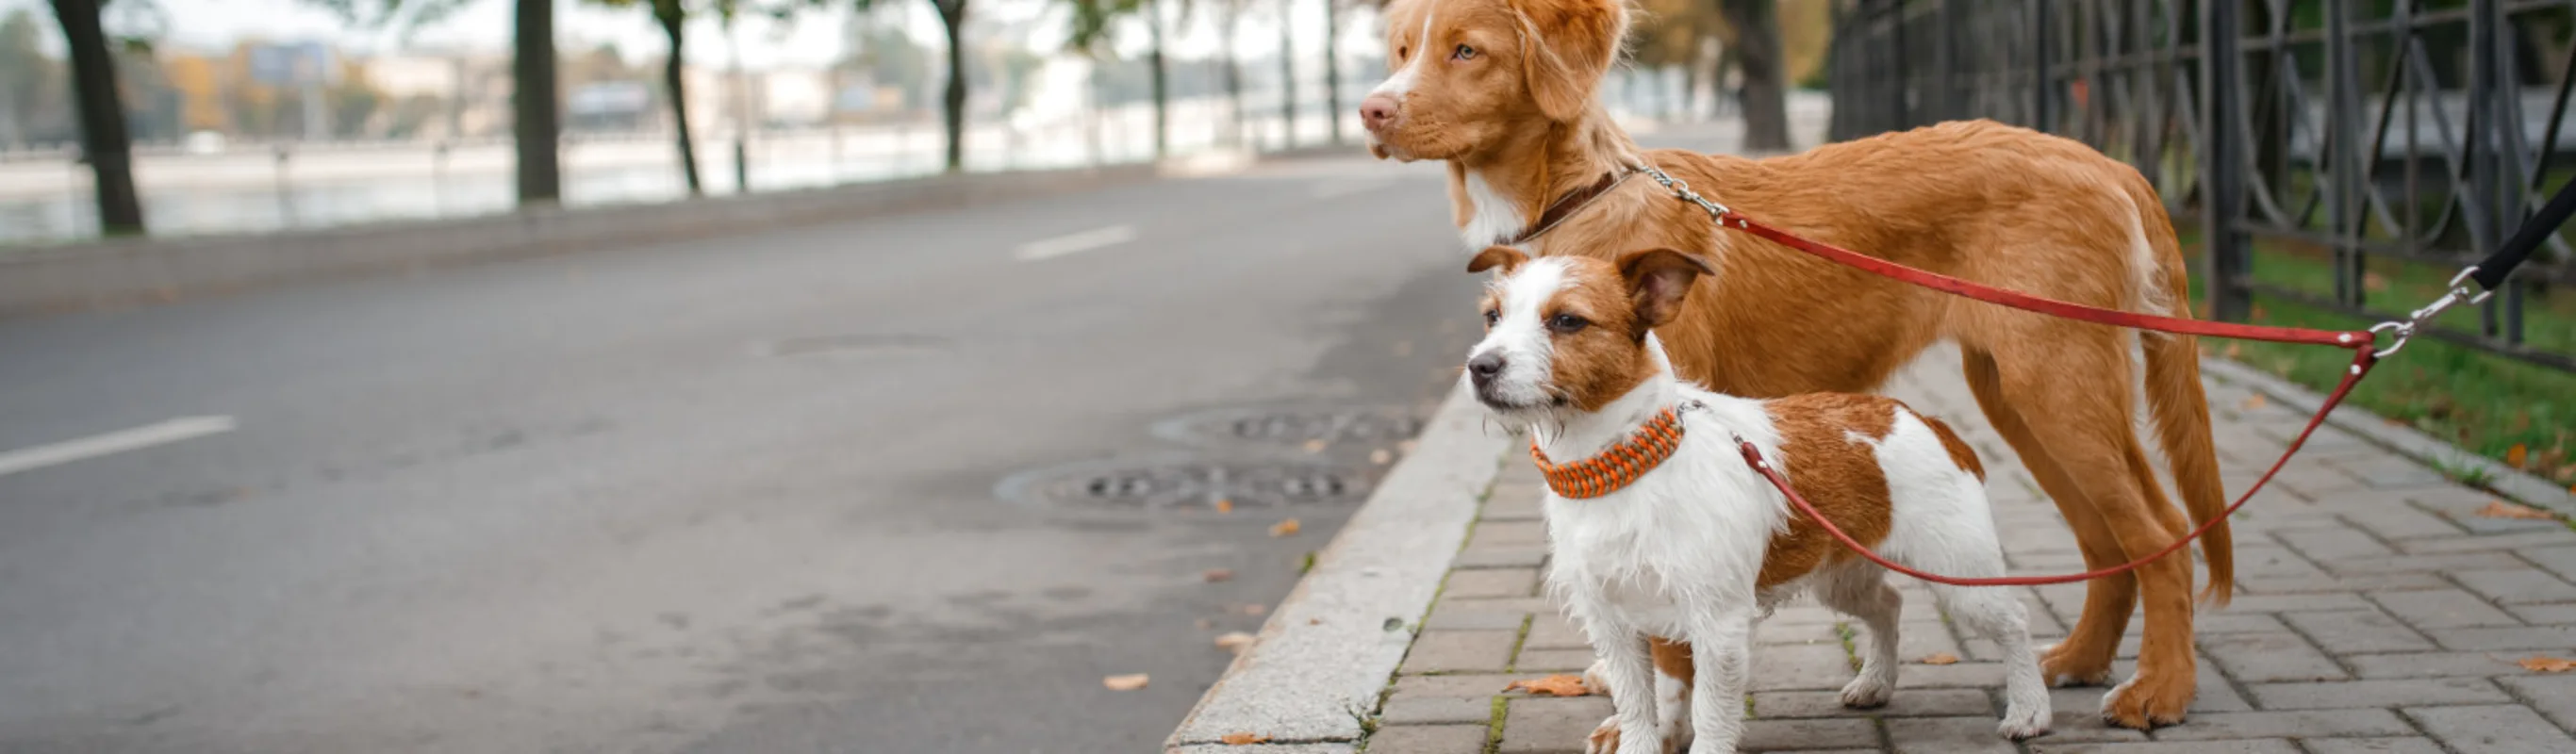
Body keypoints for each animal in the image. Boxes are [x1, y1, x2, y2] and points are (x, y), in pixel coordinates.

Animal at [1370, 0, 2236, 735]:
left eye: (1467, 50)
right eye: (1403, 50)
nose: (1372, 111)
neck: (1578, 201)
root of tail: (2108, 163)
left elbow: (1676, 646)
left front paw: (1666, 718)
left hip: (2058, 389)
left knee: (2162, 532)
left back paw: (2160, 691)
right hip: (2018, 401)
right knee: (2107, 542)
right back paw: (2083, 661)